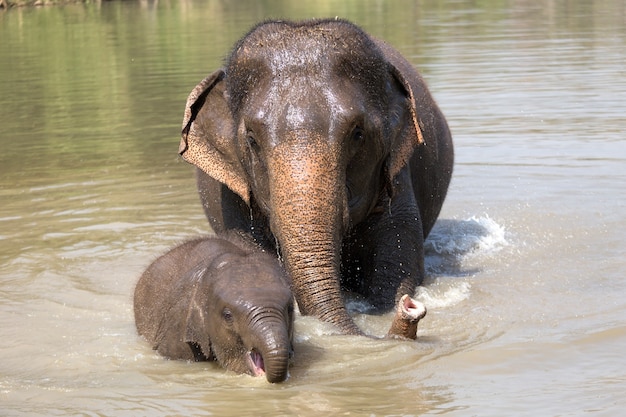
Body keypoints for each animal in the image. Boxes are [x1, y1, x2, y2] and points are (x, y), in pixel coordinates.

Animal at [178, 19, 450, 334]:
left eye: (358, 133)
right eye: (252, 140)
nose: (410, 309)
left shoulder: (395, 172)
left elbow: (397, 270)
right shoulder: (230, 198)